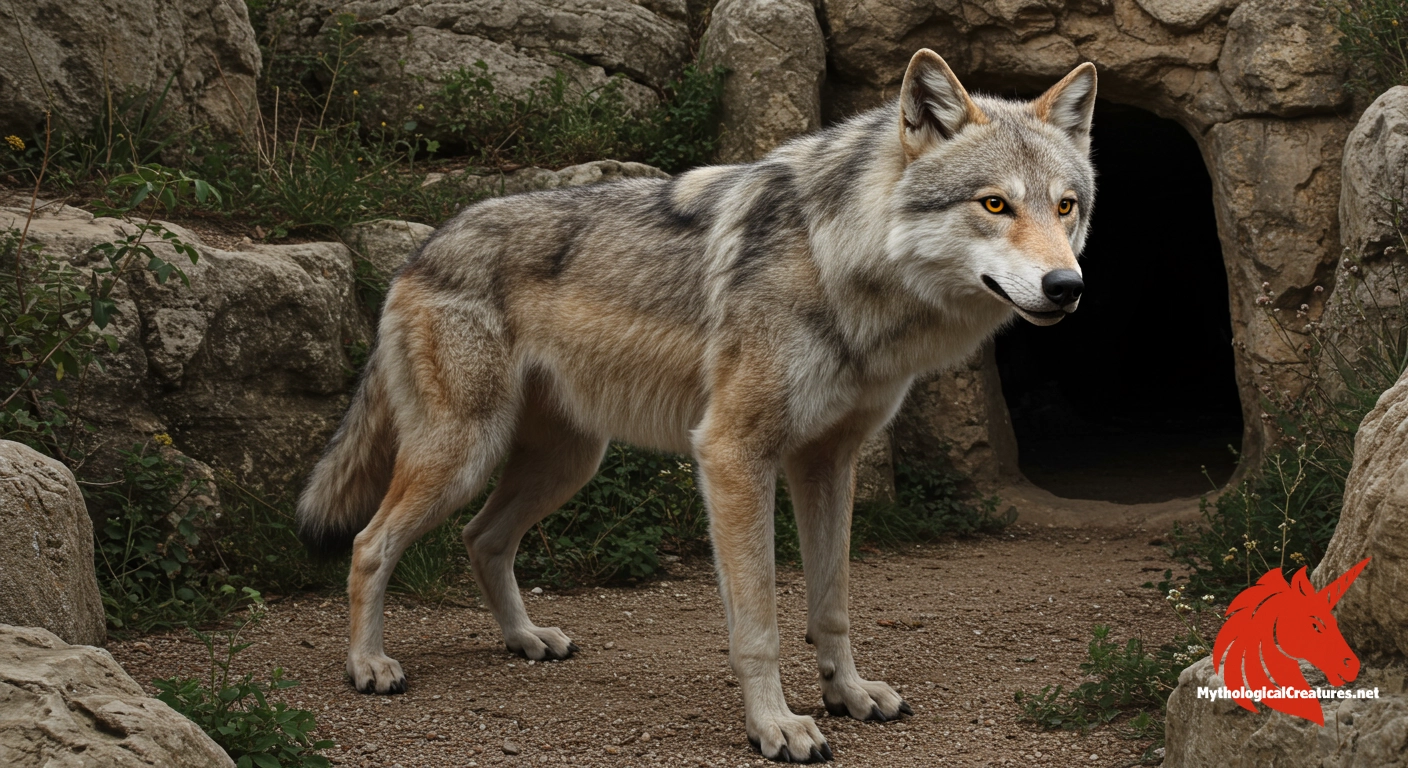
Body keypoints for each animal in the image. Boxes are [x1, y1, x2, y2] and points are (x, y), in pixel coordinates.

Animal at [297, 49, 1097, 762]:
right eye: (994, 203)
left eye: (1065, 206)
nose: (1067, 287)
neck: (840, 259)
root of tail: (423, 245)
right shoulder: (733, 454)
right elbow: (760, 624)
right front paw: (778, 728)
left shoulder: (828, 462)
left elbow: (831, 606)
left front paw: (849, 694)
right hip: (465, 454)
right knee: (370, 544)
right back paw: (368, 666)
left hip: (565, 464)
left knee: (482, 539)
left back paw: (526, 640)